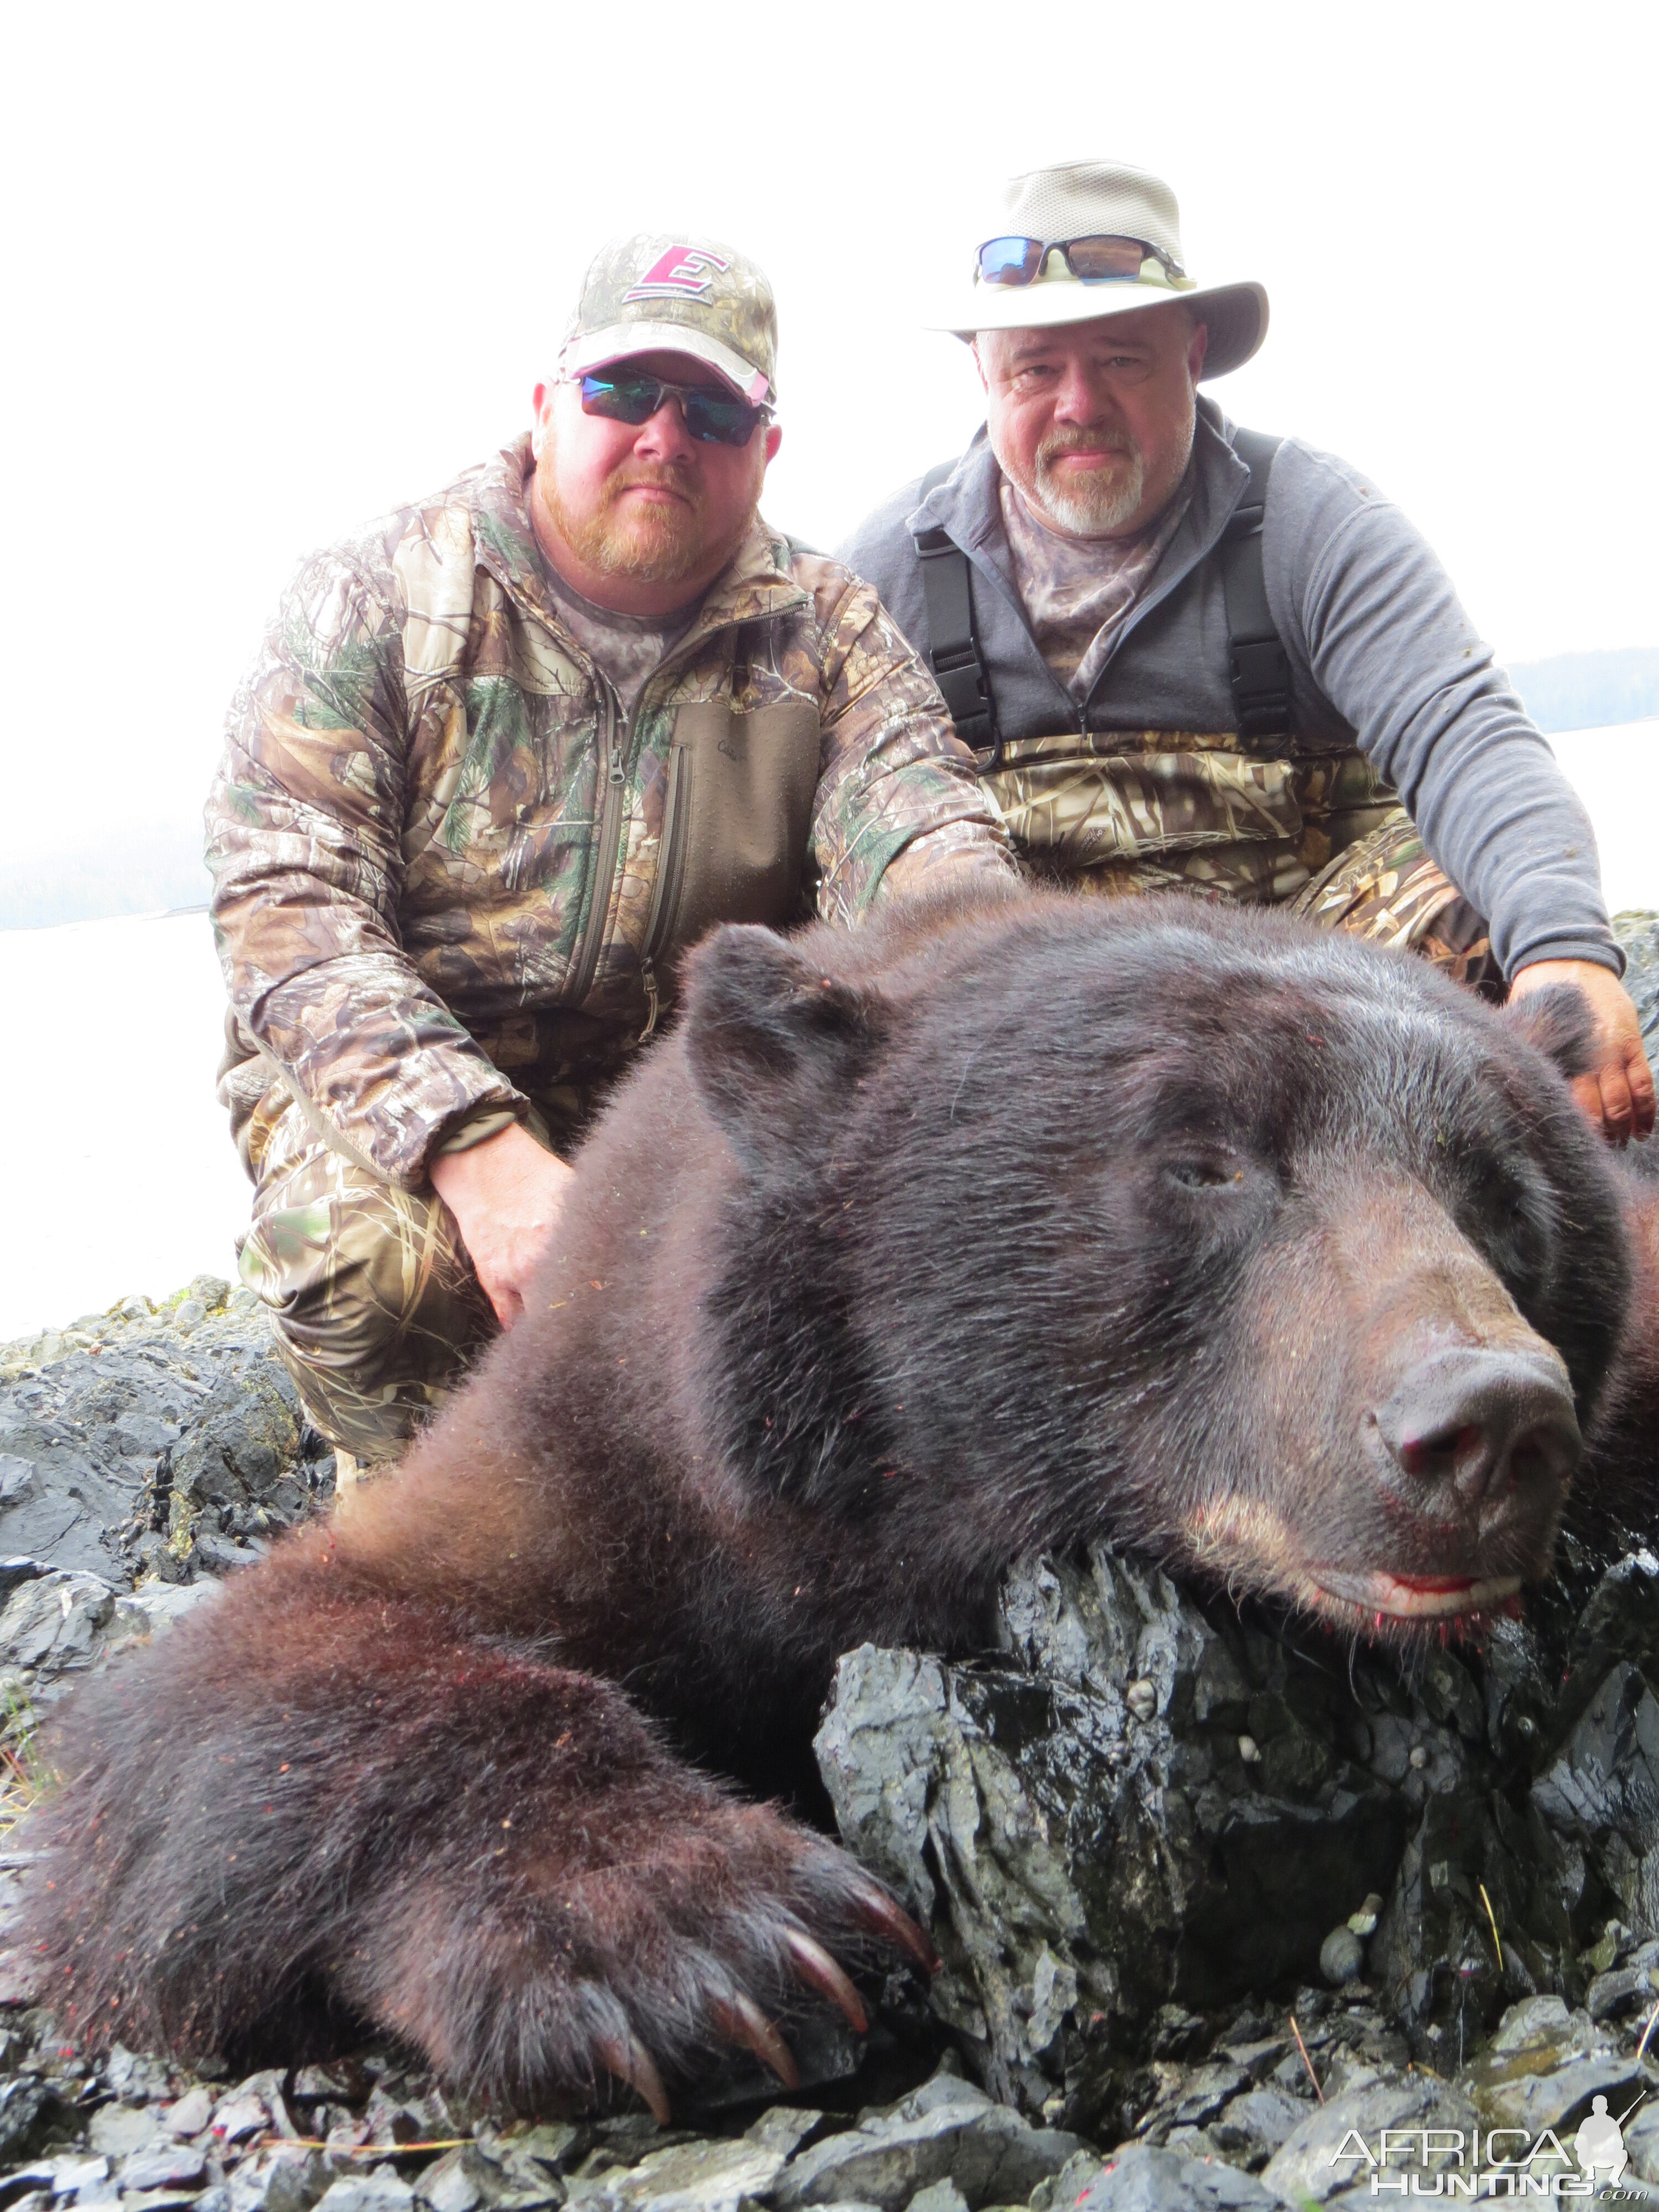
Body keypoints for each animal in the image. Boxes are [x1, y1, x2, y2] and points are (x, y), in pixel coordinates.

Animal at [19, 876, 1655, 2106]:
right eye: (1203, 1159)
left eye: (1503, 1192)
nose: (1483, 1421)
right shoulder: (622, 1451)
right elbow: (240, 1681)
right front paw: (701, 1932)